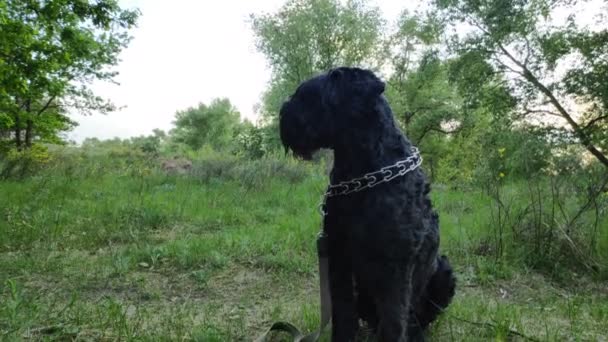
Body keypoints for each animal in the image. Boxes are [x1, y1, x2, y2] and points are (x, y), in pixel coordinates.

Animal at [278, 67, 454, 342]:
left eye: (305, 96)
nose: (282, 116)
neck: (363, 173)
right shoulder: (338, 255)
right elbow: (342, 311)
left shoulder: (395, 265)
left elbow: (394, 319)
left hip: (443, 273)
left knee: (415, 318)